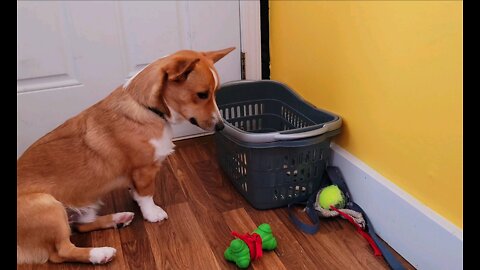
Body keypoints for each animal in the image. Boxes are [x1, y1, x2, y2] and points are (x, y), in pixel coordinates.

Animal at [17, 47, 235, 264]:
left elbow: (136, 191)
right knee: (61, 252)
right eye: (202, 94)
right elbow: (146, 195)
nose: (221, 127)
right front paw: (152, 213)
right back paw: (100, 253)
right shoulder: (143, 170)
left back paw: (118, 219)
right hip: (49, 205)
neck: (148, 108)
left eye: (214, 93)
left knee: (80, 225)